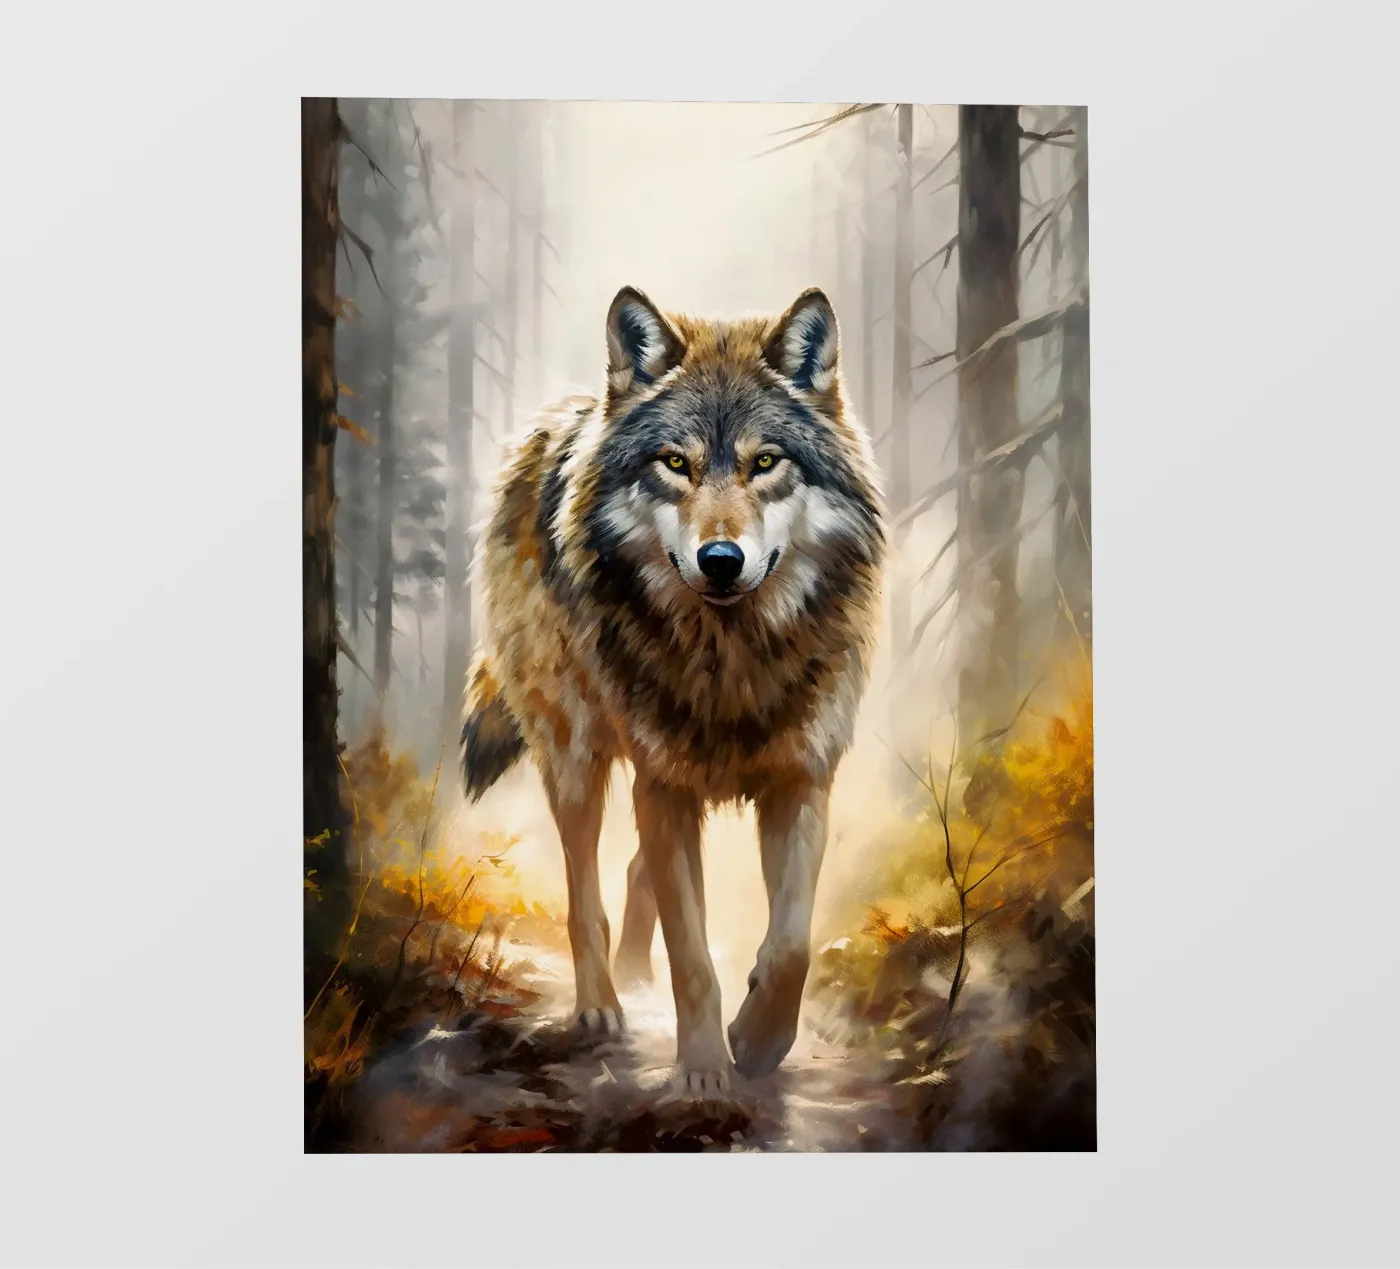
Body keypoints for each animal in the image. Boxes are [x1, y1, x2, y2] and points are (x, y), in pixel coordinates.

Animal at [460, 285, 885, 1092]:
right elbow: (691, 955)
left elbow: (791, 946)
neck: (731, 660)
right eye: (675, 463)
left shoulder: (801, 779)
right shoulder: (664, 784)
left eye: (765, 462)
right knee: (586, 894)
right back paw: (602, 1004)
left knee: (636, 872)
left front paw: (757, 1040)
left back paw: (634, 973)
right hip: (577, 756)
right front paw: (705, 1072)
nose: (720, 559)